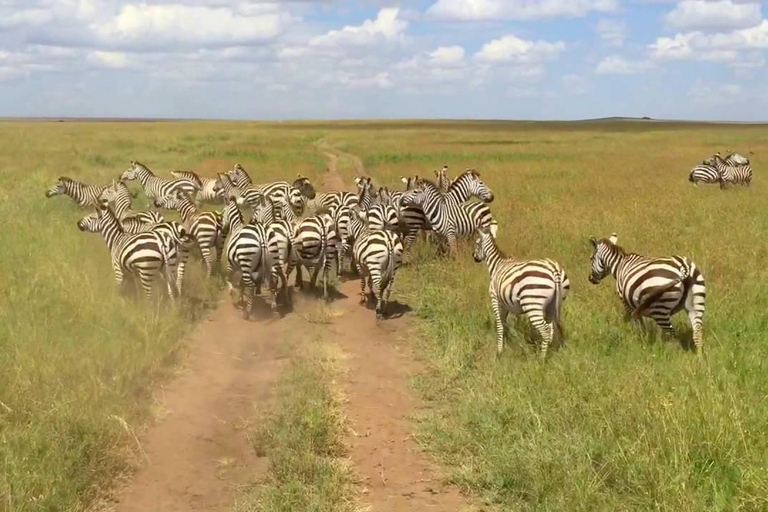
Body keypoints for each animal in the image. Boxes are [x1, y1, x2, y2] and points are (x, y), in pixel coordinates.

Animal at [474, 226, 568, 358]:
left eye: (477, 243)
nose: (474, 257)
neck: (497, 265)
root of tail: (554, 270)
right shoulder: (505, 304)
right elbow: (504, 324)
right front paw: (505, 345)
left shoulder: (495, 299)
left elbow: (499, 324)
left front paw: (499, 351)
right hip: (553, 305)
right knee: (550, 329)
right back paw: (549, 350)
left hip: (533, 304)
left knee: (545, 330)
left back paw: (541, 358)